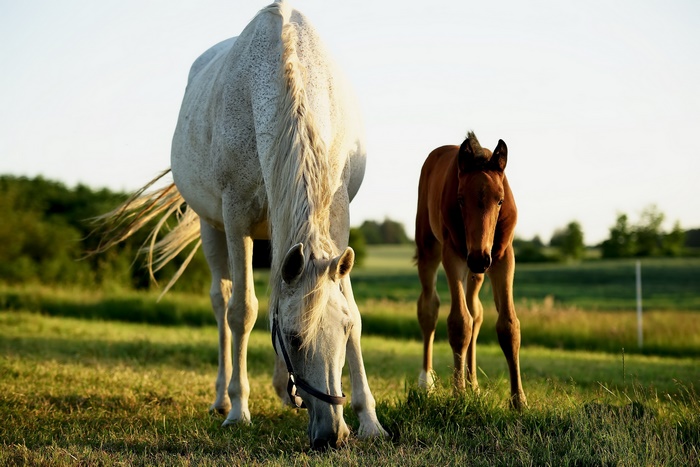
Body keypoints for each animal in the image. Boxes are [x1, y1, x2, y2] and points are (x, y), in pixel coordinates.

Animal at [93, 0, 386, 449]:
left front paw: (369, 420)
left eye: (342, 329)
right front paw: (239, 410)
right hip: (211, 228)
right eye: (295, 338)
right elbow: (242, 311)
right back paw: (222, 399)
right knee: (222, 300)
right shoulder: (236, 219)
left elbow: (349, 307)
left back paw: (283, 391)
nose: (331, 436)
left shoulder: (338, 219)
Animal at [414, 131, 527, 409]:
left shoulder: (503, 256)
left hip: (476, 272)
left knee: (476, 312)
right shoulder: (453, 255)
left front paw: (519, 401)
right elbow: (459, 323)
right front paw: (458, 394)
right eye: (460, 199)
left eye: (500, 200)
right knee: (429, 307)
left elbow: (508, 326)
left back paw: (474, 384)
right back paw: (426, 382)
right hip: (429, 248)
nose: (478, 257)